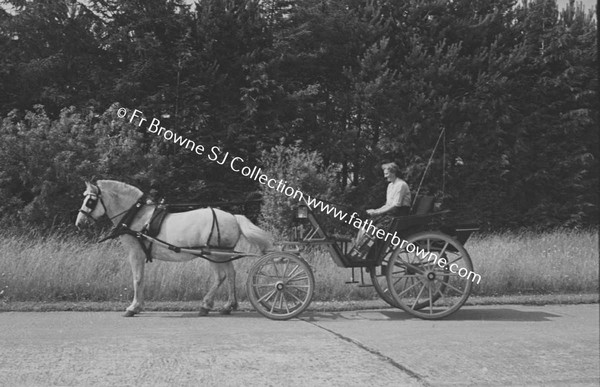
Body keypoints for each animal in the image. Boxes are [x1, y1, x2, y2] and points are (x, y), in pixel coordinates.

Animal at [75, 180, 274, 316]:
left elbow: (137, 279)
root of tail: (233, 216)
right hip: (223, 254)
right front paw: (139, 306)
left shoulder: (135, 253)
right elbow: (141, 278)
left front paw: (132, 307)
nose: (79, 223)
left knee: (221, 276)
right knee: (231, 274)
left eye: (90, 201)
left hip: (214, 255)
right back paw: (228, 306)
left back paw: (206, 305)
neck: (136, 216)